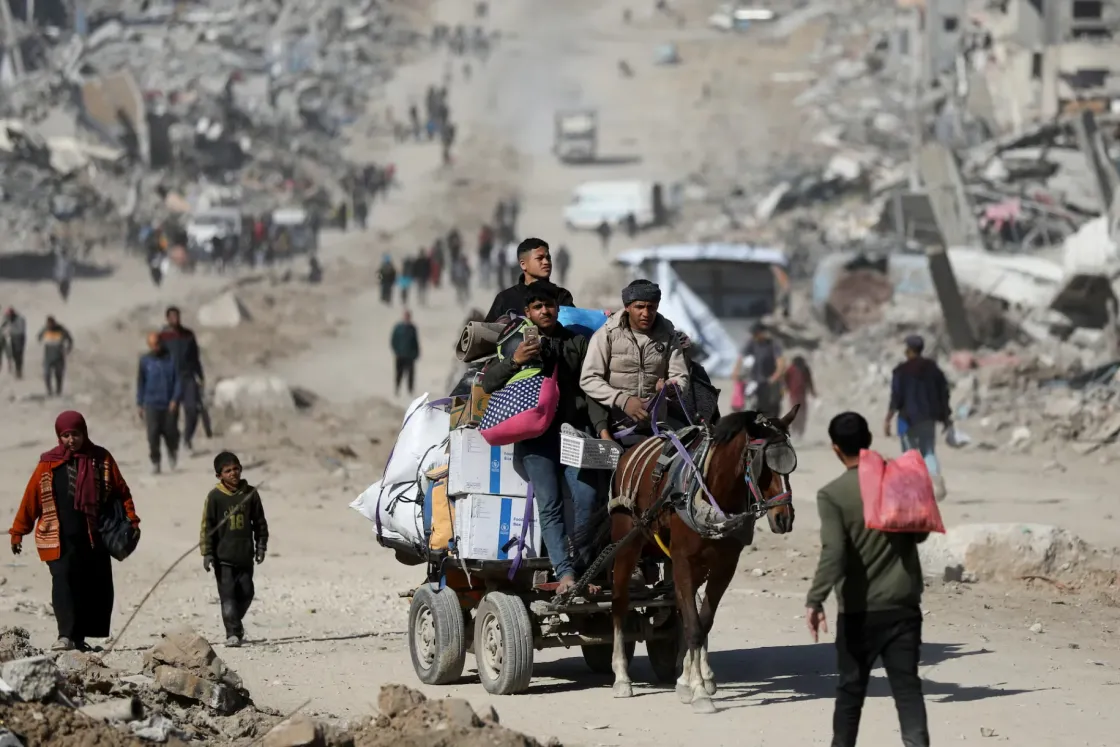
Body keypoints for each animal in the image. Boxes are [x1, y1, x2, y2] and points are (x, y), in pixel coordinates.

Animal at [604, 409, 797, 712]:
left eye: (791, 466)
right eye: (762, 466)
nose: (784, 519)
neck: (712, 494)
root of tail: (629, 452)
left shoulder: (724, 566)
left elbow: (701, 621)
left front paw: (691, 681)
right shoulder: (685, 560)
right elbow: (694, 627)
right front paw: (699, 693)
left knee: (682, 608)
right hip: (627, 543)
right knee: (619, 604)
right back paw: (622, 676)